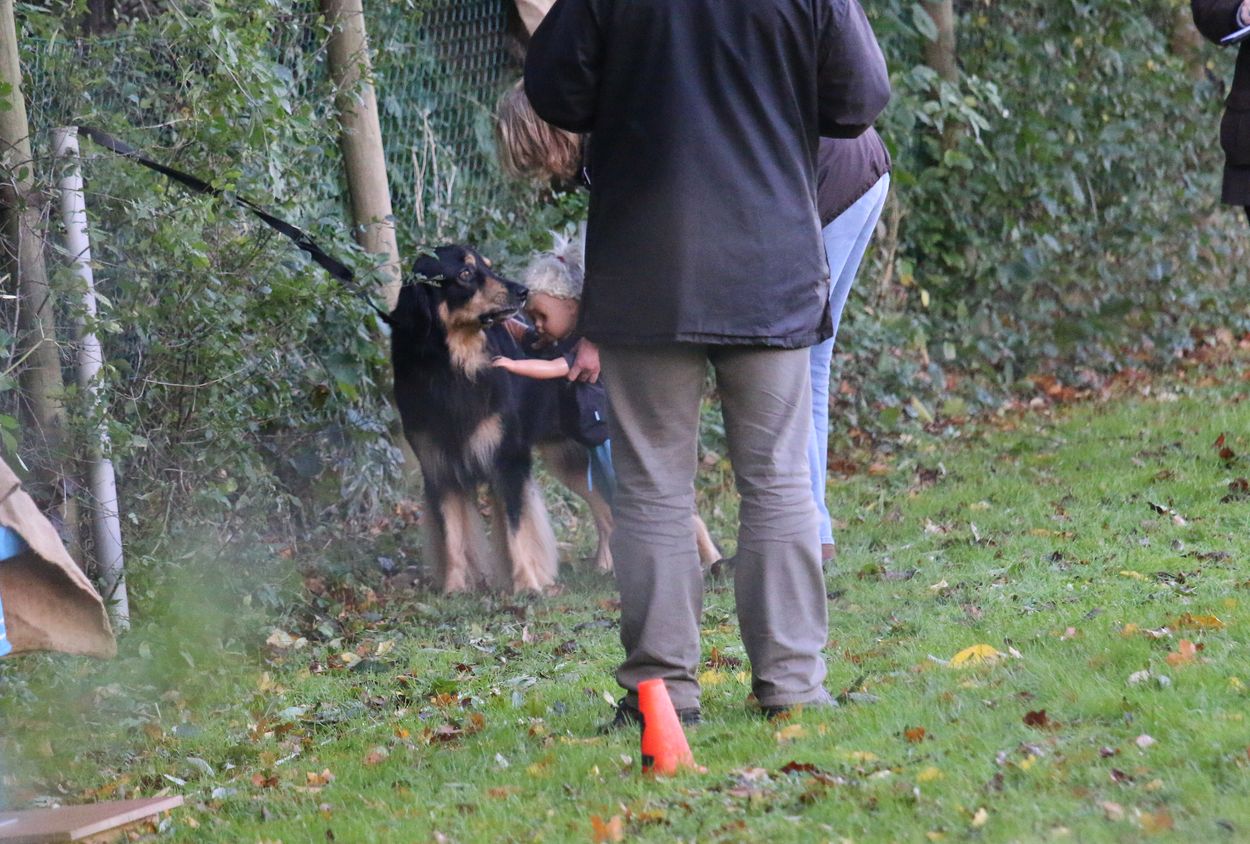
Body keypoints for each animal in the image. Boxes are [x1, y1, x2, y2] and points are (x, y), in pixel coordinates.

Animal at [386, 244, 719, 594]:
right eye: (465, 273)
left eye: (487, 267)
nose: (522, 291)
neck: (452, 367)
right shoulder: (438, 465)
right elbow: (451, 534)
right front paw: (454, 588)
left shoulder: (508, 459)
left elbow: (516, 528)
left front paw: (527, 585)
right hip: (570, 457)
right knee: (605, 511)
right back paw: (606, 566)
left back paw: (712, 561)